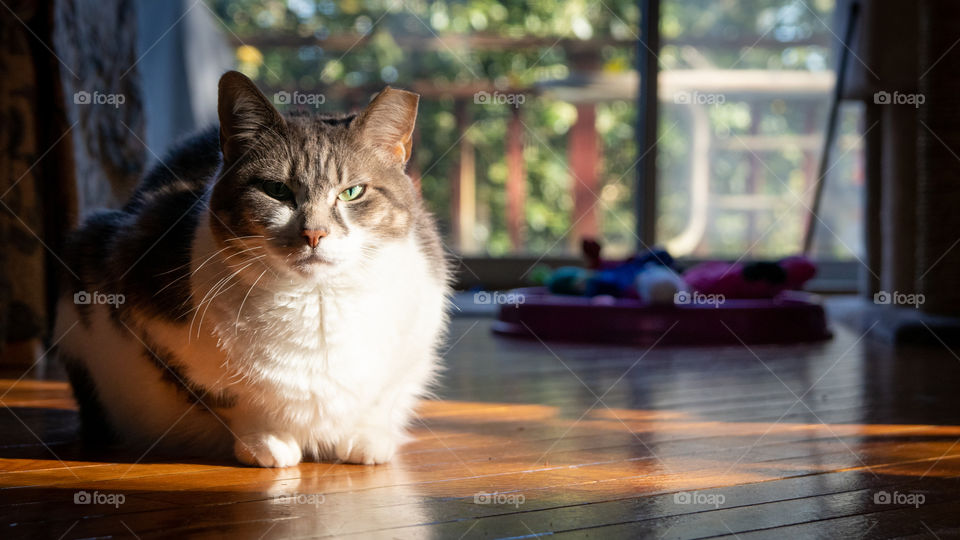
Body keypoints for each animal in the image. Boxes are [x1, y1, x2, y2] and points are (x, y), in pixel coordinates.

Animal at [54, 70, 452, 468]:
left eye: (352, 192)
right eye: (276, 189)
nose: (314, 232)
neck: (318, 301)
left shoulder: (418, 336)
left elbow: (382, 395)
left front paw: (365, 438)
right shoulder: (139, 299)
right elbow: (233, 399)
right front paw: (268, 442)